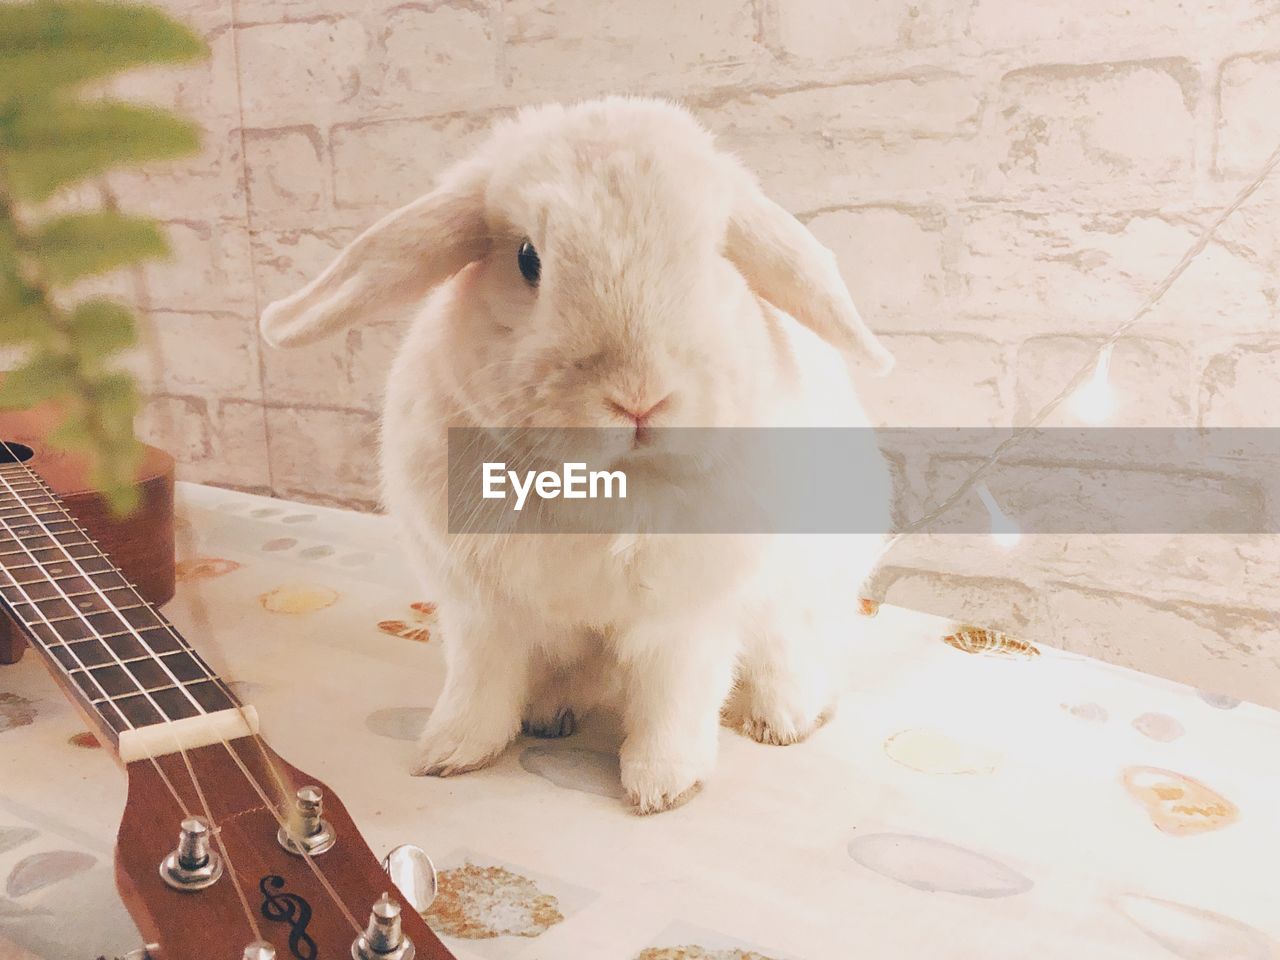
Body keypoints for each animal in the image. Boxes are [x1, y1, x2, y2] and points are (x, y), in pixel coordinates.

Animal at [262, 97, 890, 814]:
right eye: (529, 258)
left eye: (714, 258)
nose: (640, 396)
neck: (601, 483)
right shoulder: (481, 614)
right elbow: (477, 689)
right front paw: (448, 754)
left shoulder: (684, 622)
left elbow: (673, 701)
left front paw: (662, 786)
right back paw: (549, 715)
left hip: (803, 592)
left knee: (789, 654)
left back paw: (780, 719)